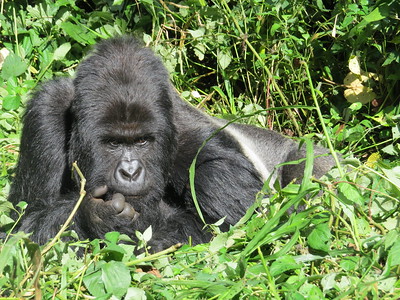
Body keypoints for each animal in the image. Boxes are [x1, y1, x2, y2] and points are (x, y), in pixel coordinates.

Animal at [8, 35, 334, 251]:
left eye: (142, 142)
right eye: (113, 143)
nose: (130, 172)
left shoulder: (209, 159)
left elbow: (241, 235)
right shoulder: (46, 110)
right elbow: (22, 223)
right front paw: (95, 216)